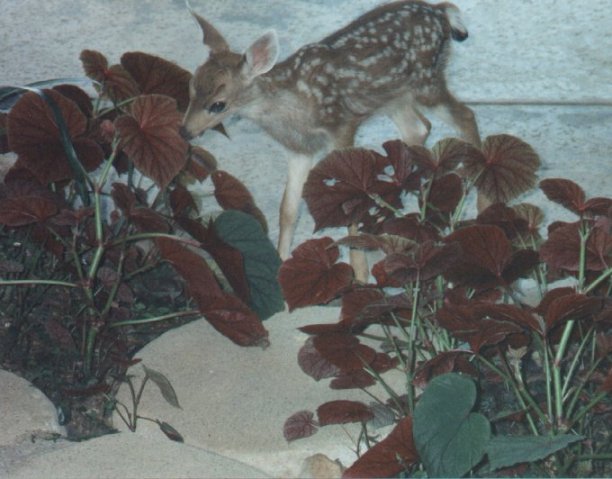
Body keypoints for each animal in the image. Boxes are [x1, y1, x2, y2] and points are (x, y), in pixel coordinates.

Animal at [179, 0, 480, 282]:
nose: (183, 132)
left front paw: (359, 275)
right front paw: (280, 263)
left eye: (218, 104)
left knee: (465, 115)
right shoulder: (300, 150)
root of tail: (440, 11)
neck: (294, 108)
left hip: (426, 81)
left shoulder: (342, 127)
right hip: (393, 96)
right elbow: (287, 209)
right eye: (191, 88)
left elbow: (351, 201)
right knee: (419, 128)